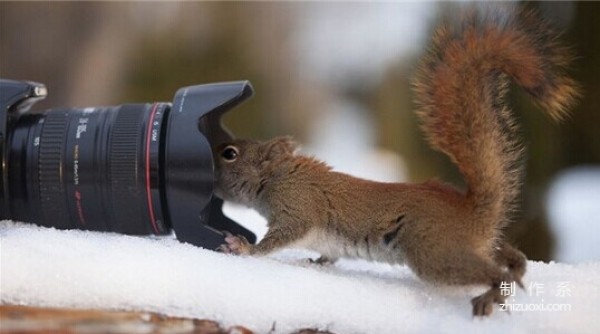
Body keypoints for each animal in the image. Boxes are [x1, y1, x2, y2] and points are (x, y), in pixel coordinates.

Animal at [213, 7, 580, 316]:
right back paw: (516, 264)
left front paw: (244, 249)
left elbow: (278, 239)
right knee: (508, 256)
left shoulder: (299, 208)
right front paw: (318, 263)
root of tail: (474, 212)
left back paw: (492, 294)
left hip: (434, 252)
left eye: (230, 153)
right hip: (466, 247)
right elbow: (329, 253)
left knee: (492, 274)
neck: (278, 177)